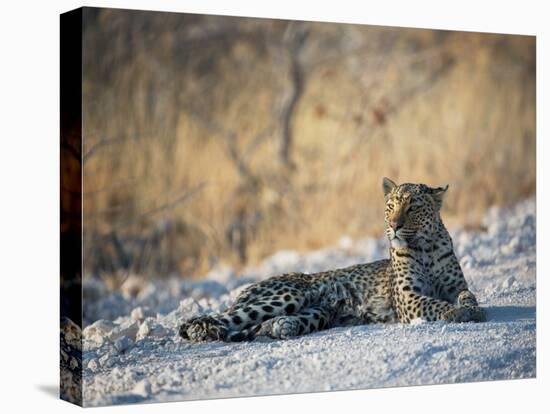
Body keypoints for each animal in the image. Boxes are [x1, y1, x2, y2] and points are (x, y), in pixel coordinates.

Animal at [179, 176, 486, 342]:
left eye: (413, 208)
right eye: (390, 206)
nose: (394, 226)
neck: (426, 247)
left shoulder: (455, 286)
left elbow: (467, 294)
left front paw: (472, 309)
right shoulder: (409, 298)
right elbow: (434, 304)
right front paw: (456, 313)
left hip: (318, 311)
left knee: (258, 326)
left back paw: (282, 326)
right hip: (286, 295)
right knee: (216, 319)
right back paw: (202, 330)